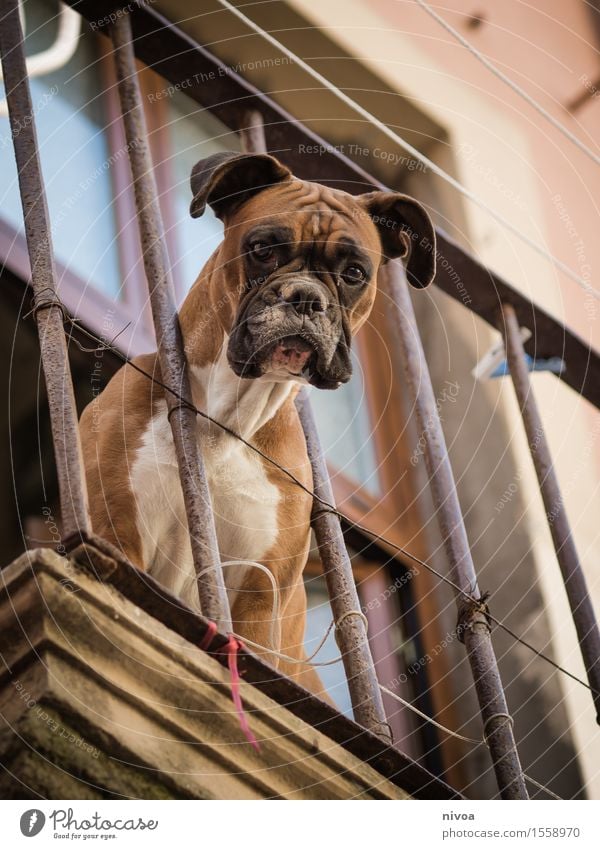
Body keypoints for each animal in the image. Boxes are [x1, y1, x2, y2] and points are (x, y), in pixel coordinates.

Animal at [81, 154, 436, 696]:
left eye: (354, 273)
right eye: (263, 249)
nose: (306, 297)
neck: (227, 419)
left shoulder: (258, 600)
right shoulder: (116, 532)